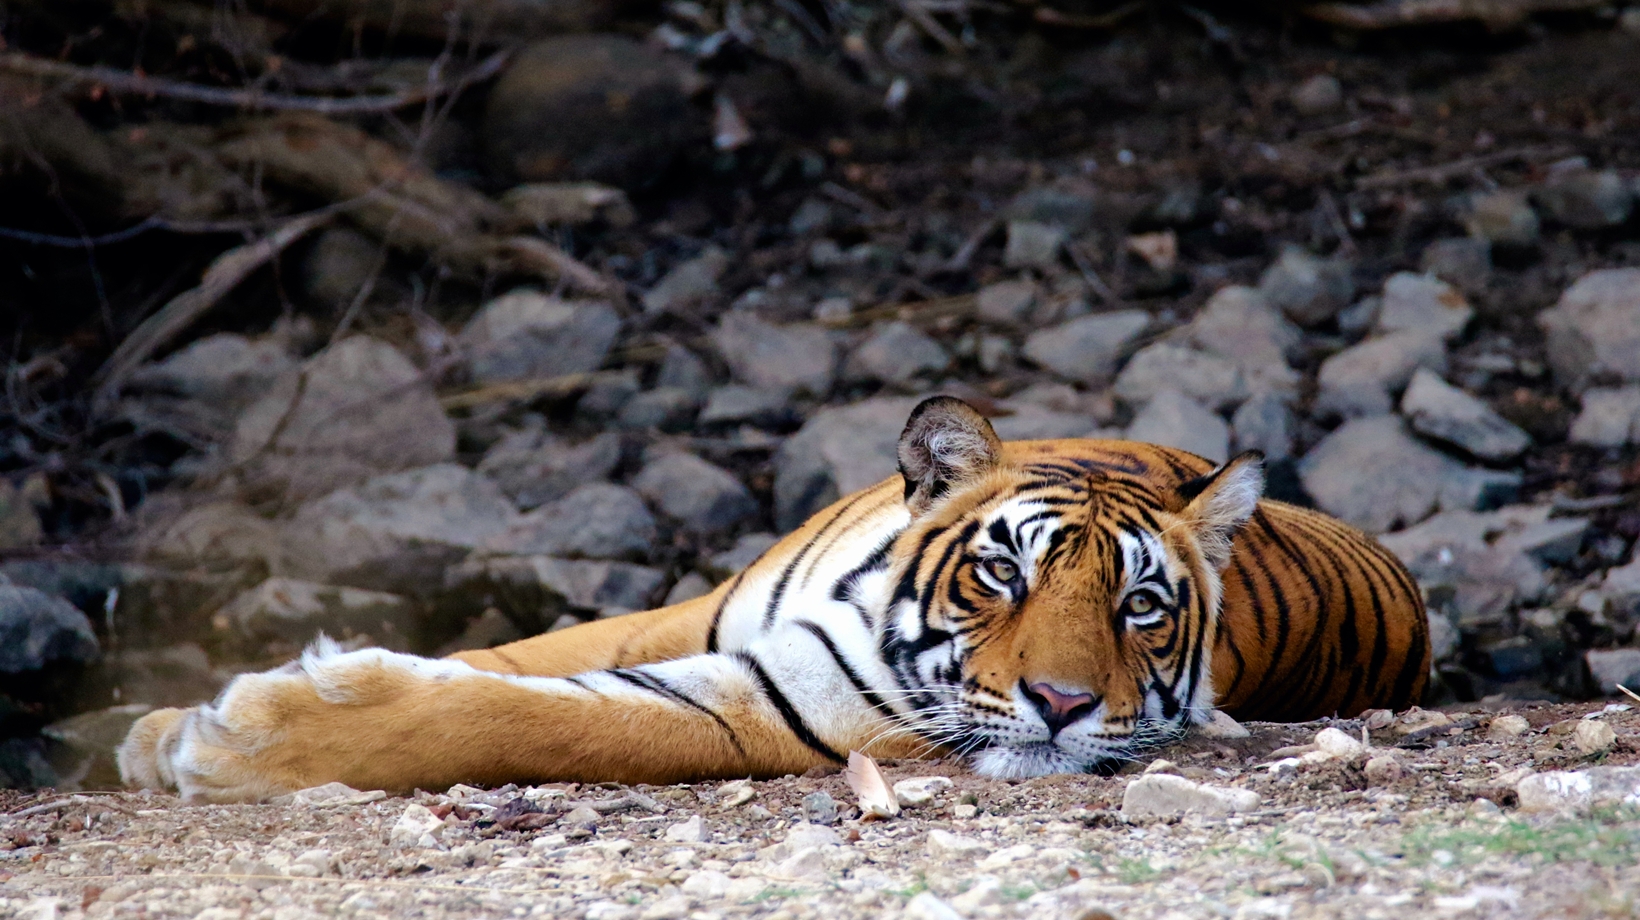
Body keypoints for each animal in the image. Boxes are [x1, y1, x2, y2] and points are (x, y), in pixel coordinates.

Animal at [118, 396, 1429, 802]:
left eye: (1139, 609)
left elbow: (518, 713)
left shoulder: (777, 701)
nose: (1060, 704)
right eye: (1001, 571)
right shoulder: (694, 613)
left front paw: (235, 738)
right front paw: (152, 725)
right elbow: (518, 656)